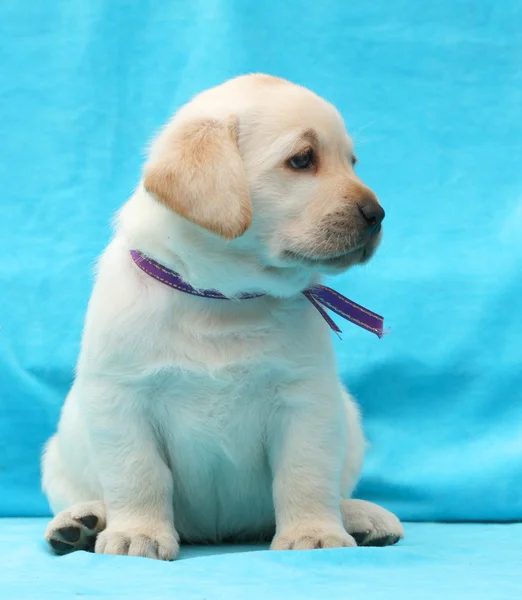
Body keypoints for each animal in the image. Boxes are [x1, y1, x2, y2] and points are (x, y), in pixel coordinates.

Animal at [41, 74, 402, 556]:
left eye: (352, 162)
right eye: (302, 159)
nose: (377, 215)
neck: (223, 298)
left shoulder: (307, 400)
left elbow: (304, 474)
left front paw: (314, 533)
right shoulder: (122, 399)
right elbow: (139, 475)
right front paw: (138, 533)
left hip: (350, 421)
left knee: (335, 491)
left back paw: (360, 516)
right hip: (59, 453)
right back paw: (81, 522)